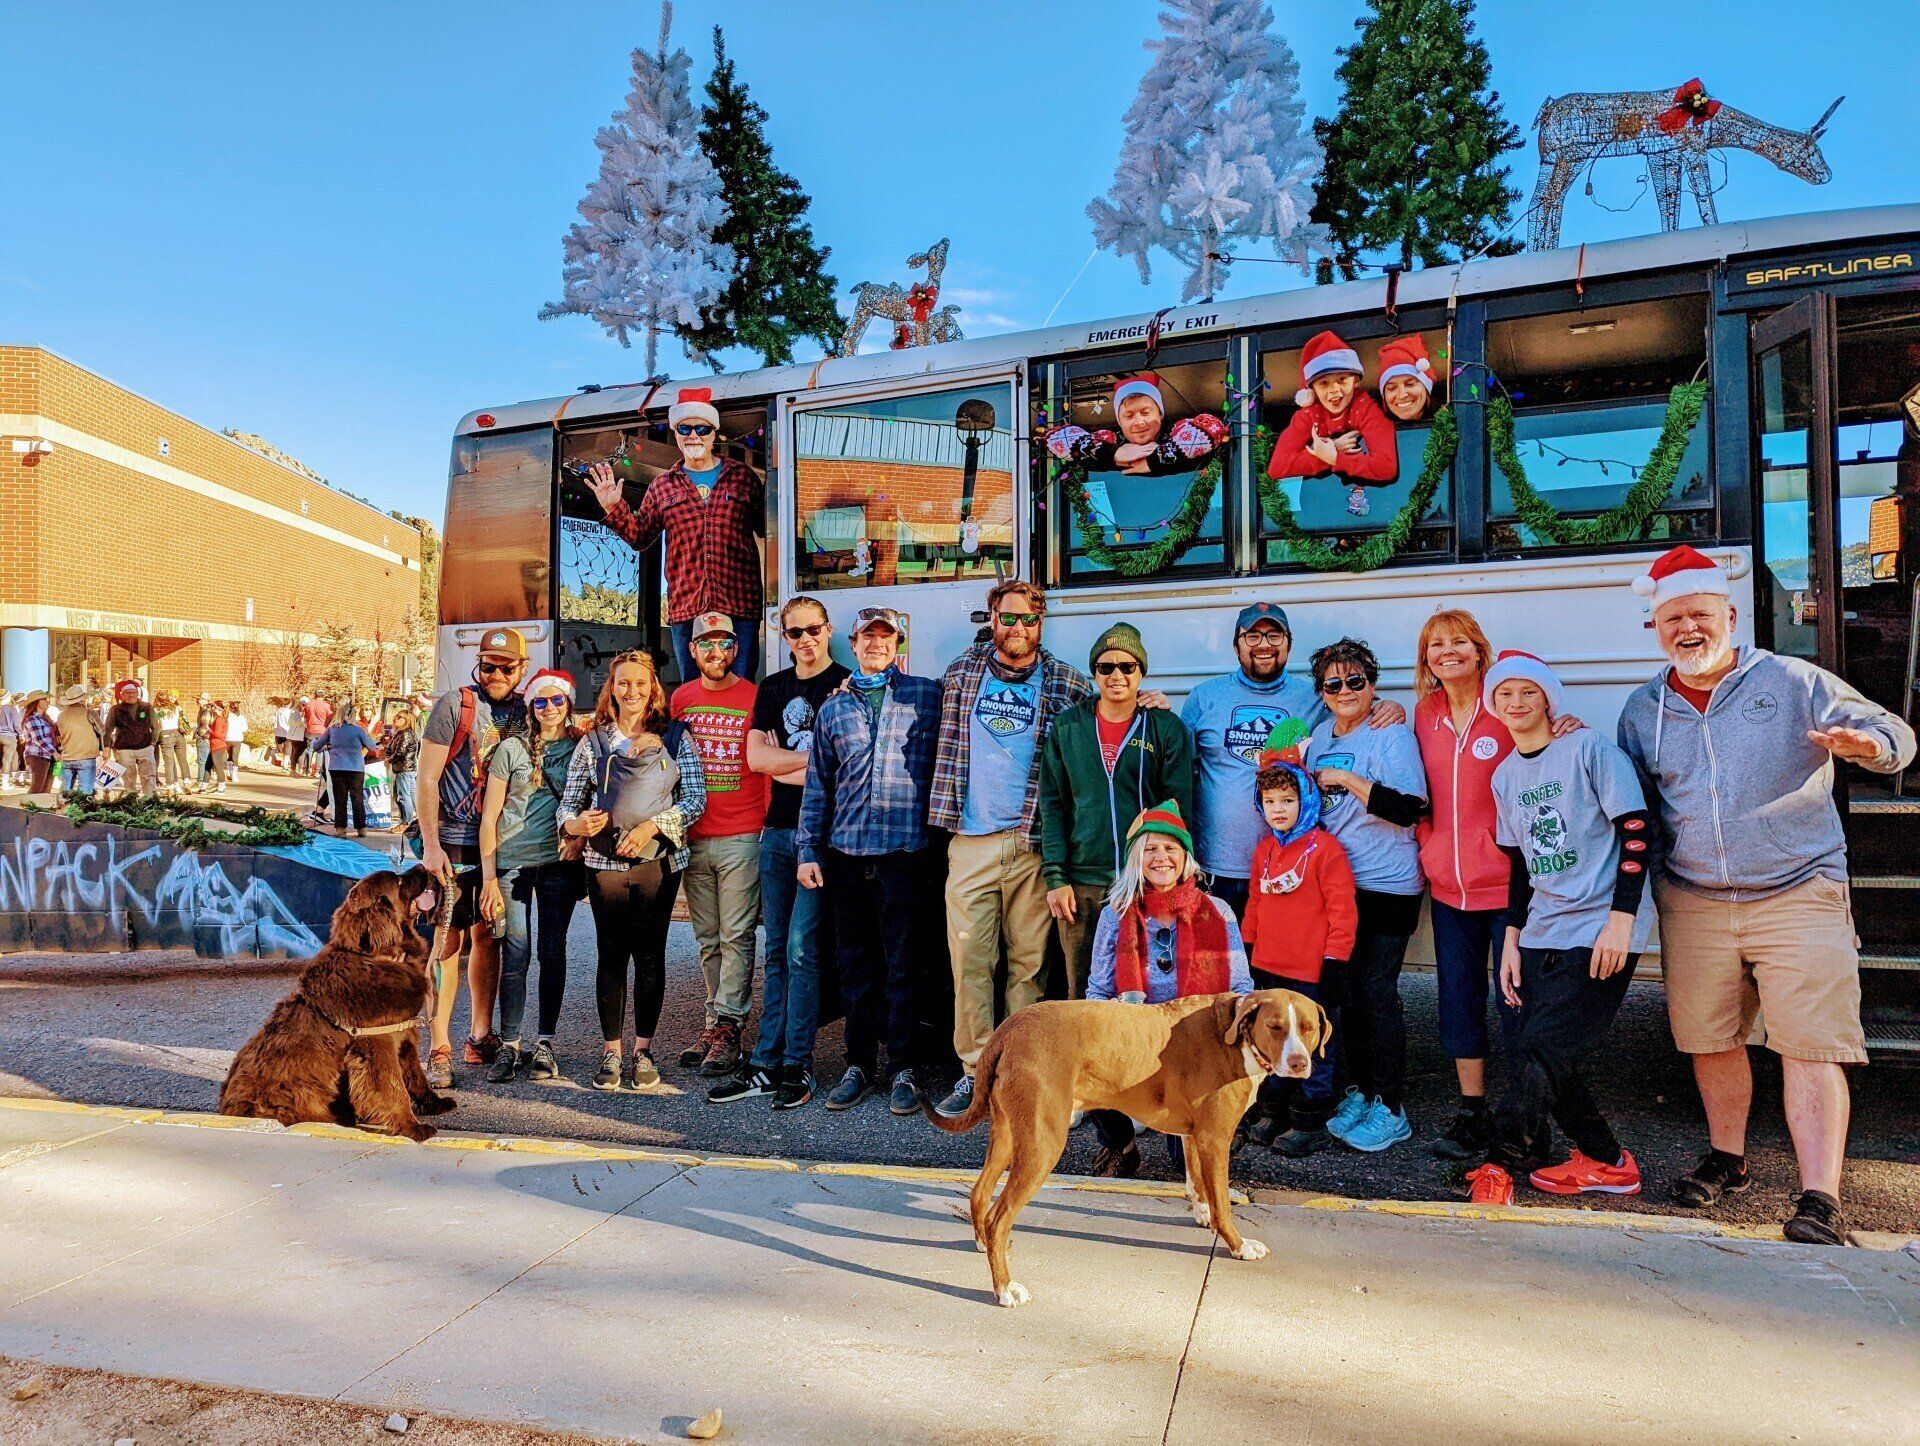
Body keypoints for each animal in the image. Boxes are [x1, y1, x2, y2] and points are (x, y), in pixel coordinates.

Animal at [217, 867, 453, 1136]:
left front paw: (434, 1104)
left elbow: (415, 1075)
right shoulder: (377, 1041)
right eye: (400, 881)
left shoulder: (404, 1032)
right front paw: (412, 1128)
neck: (377, 958)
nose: (424, 867)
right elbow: (393, 1086)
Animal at [929, 990, 1336, 1305]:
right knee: (999, 1217)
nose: (1299, 1063)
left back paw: (984, 1245)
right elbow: (1222, 1203)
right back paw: (1004, 1288)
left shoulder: (1193, 1136)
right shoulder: (1215, 1138)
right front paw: (1237, 1244)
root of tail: (1010, 1027)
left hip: (1009, 1134)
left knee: (979, 1195)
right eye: (1275, 1027)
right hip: (1043, 1143)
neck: (1235, 1034)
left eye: (1308, 1029)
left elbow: (1197, 1184)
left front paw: (1201, 1213)